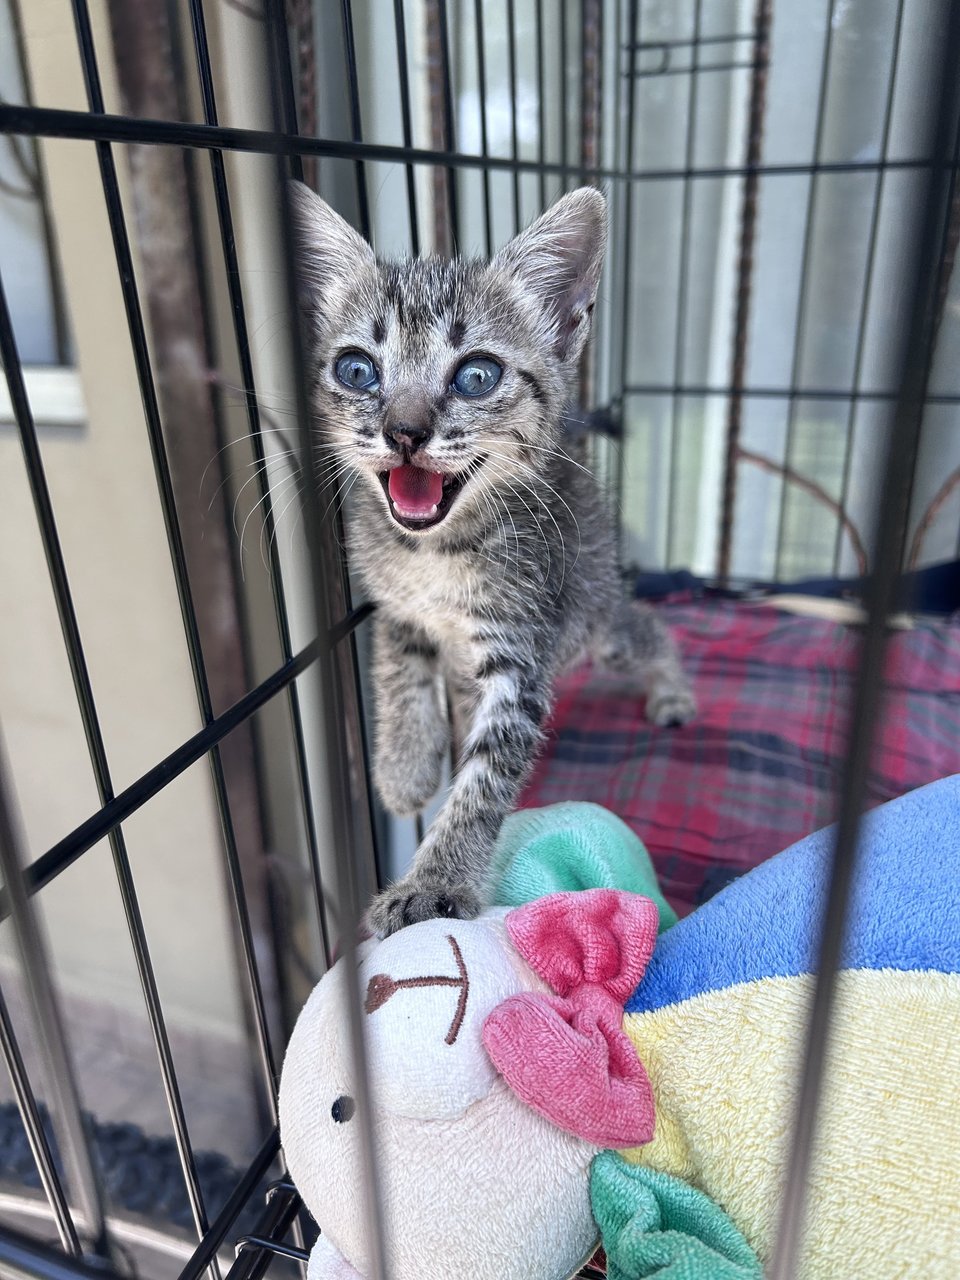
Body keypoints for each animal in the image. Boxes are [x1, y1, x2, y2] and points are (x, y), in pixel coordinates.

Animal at [289, 185, 696, 936]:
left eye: (477, 376)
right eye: (356, 370)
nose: (404, 432)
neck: (435, 551)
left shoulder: (520, 650)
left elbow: (482, 780)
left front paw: (435, 882)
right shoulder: (393, 603)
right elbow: (396, 667)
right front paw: (403, 767)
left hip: (598, 620)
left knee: (649, 627)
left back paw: (674, 688)